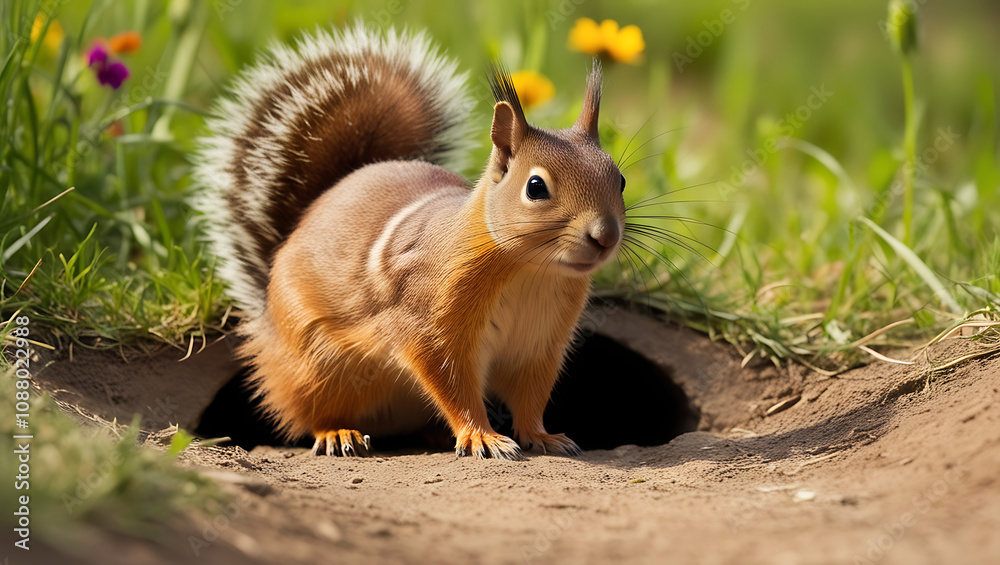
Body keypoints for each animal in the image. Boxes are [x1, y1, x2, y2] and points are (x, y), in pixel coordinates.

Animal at [193, 24, 626, 459]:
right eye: (535, 187)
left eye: (620, 179)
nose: (605, 236)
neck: (532, 271)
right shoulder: (429, 327)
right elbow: (454, 386)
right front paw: (481, 436)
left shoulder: (540, 346)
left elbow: (531, 396)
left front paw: (542, 435)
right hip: (318, 365)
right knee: (311, 411)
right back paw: (338, 433)